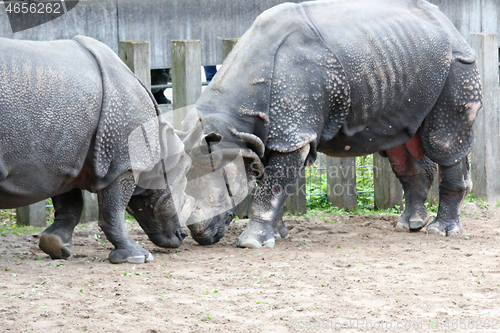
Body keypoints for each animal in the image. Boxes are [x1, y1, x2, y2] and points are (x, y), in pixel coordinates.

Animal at [0, 34, 191, 262]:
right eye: (175, 202)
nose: (181, 236)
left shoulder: (63, 159)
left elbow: (70, 204)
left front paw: (56, 246)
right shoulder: (123, 163)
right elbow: (113, 211)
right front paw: (137, 257)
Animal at [187, 0, 480, 246]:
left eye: (221, 194)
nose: (200, 235)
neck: (234, 125)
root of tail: (450, 25)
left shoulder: (292, 132)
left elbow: (271, 189)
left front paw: (252, 243)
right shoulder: (277, 135)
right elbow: (276, 186)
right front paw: (278, 235)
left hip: (457, 64)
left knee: (443, 142)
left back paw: (442, 231)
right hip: (405, 61)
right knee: (399, 146)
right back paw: (411, 224)